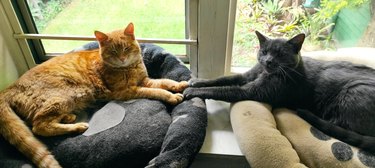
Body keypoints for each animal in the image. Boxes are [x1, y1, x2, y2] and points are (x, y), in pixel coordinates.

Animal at [0, 22, 188, 168]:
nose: (122, 58)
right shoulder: (127, 91)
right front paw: (171, 96)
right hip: (61, 98)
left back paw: (68, 117)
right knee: (38, 126)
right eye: (113, 52)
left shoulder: (145, 81)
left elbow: (164, 82)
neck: (128, 68)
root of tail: (11, 86)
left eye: (126, 48)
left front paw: (179, 85)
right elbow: (157, 91)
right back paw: (77, 126)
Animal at [184, 30, 375, 153]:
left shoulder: (250, 91)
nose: (268, 61)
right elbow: (222, 79)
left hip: (352, 93)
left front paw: (191, 91)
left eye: (281, 54)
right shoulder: (246, 76)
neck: (265, 73)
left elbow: (220, 89)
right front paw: (197, 81)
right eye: (264, 51)